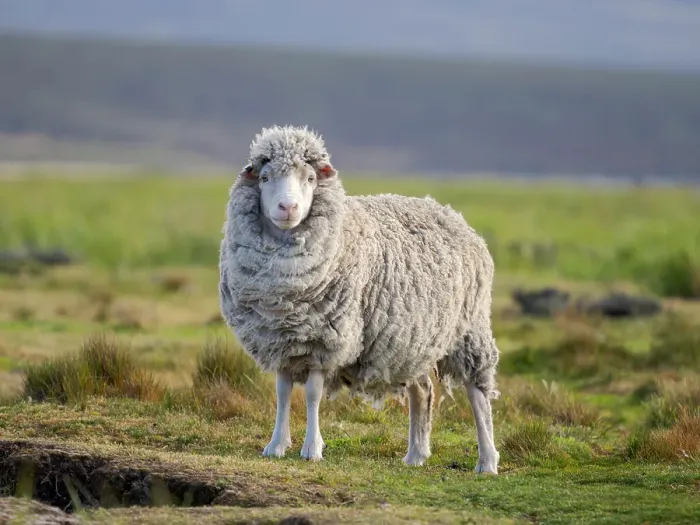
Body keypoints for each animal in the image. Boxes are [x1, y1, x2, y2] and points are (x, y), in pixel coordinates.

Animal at [218, 125, 500, 473]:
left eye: (309, 178)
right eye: (265, 177)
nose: (288, 208)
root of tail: (449, 212)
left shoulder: (324, 340)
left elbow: (312, 394)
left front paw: (312, 448)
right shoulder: (282, 340)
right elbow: (283, 393)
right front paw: (276, 446)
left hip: (469, 329)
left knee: (478, 394)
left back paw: (487, 460)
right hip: (413, 340)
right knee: (423, 391)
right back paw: (416, 454)